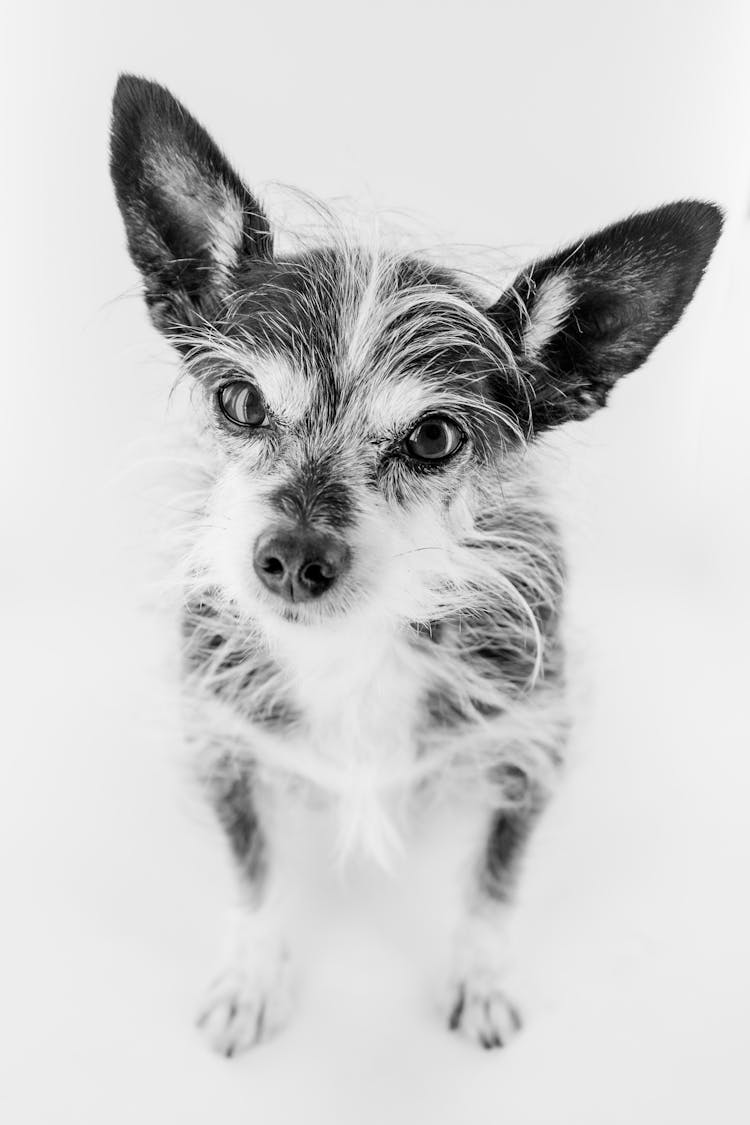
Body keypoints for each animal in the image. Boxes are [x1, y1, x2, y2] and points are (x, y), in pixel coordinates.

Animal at [108, 74, 724, 1048]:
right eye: (239, 401)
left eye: (433, 437)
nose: (292, 558)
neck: (354, 647)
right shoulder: (223, 747)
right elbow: (255, 871)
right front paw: (252, 973)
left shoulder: (530, 747)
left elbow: (493, 881)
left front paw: (480, 976)